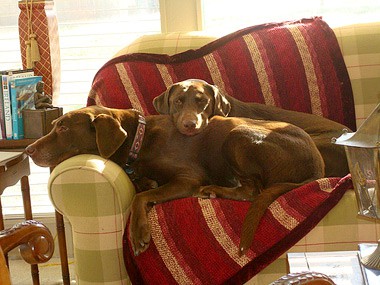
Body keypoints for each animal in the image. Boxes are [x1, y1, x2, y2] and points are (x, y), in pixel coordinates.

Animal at [26, 105, 324, 255]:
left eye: (63, 127)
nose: (28, 150)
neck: (139, 139)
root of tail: (317, 165)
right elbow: (144, 188)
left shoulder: (186, 179)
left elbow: (139, 197)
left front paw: (138, 233)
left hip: (237, 134)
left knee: (251, 191)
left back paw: (212, 190)